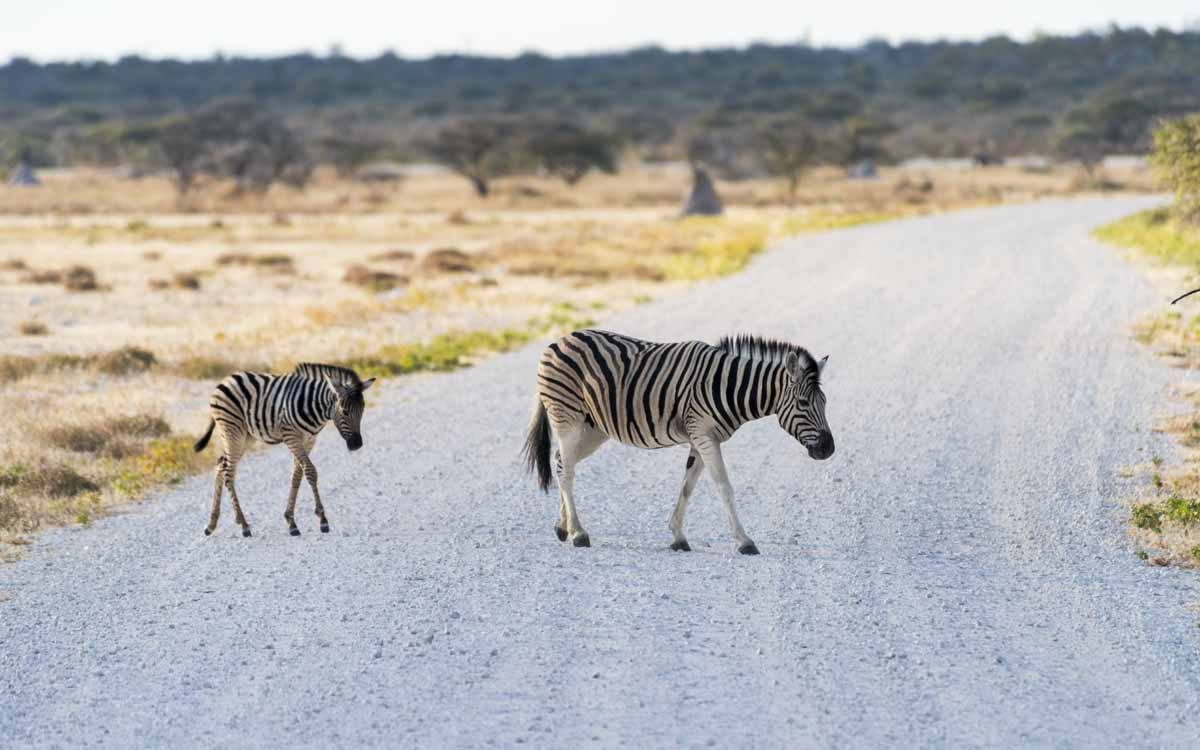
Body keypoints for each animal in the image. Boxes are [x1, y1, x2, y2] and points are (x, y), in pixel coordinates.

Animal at [192, 364, 374, 535]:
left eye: (362, 410)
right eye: (344, 411)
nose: (357, 444)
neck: (313, 406)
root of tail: (225, 380)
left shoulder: (309, 440)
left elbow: (297, 476)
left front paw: (291, 522)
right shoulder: (291, 437)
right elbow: (310, 471)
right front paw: (322, 520)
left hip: (245, 436)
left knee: (221, 465)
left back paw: (212, 524)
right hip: (232, 431)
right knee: (229, 472)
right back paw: (243, 525)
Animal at [525, 331, 835, 552]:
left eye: (825, 402)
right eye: (803, 403)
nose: (829, 450)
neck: (729, 388)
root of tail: (557, 341)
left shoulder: (700, 438)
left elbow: (688, 486)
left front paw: (678, 536)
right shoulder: (704, 435)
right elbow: (724, 487)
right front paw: (744, 541)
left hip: (593, 429)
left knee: (561, 463)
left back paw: (563, 527)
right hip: (567, 419)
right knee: (567, 471)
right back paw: (578, 533)